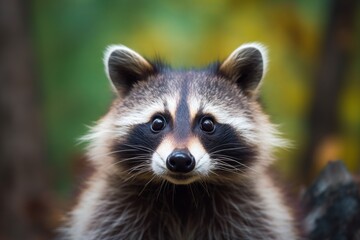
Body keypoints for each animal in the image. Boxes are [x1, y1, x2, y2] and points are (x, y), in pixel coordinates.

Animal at [61, 43, 298, 240]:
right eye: (158, 122)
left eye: (207, 123)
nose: (180, 160)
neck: (182, 193)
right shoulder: (109, 211)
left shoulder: (254, 211)